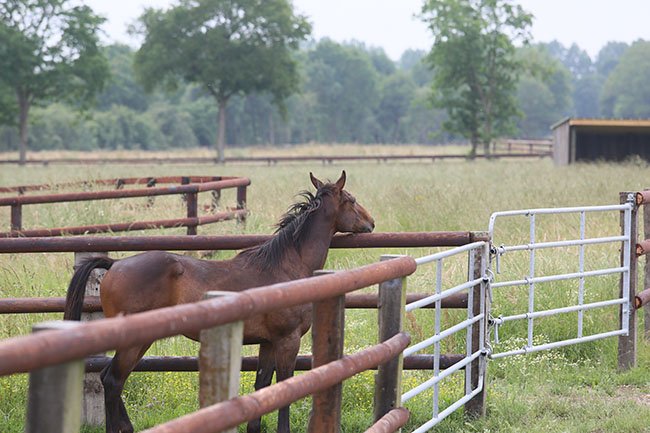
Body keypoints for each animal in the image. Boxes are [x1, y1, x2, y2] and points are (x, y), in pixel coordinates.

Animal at [64, 171, 375, 433]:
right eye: (351, 200)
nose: (371, 223)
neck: (287, 266)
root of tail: (115, 265)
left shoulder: (268, 342)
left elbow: (262, 385)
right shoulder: (288, 340)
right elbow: (285, 386)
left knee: (110, 378)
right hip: (134, 342)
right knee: (113, 380)